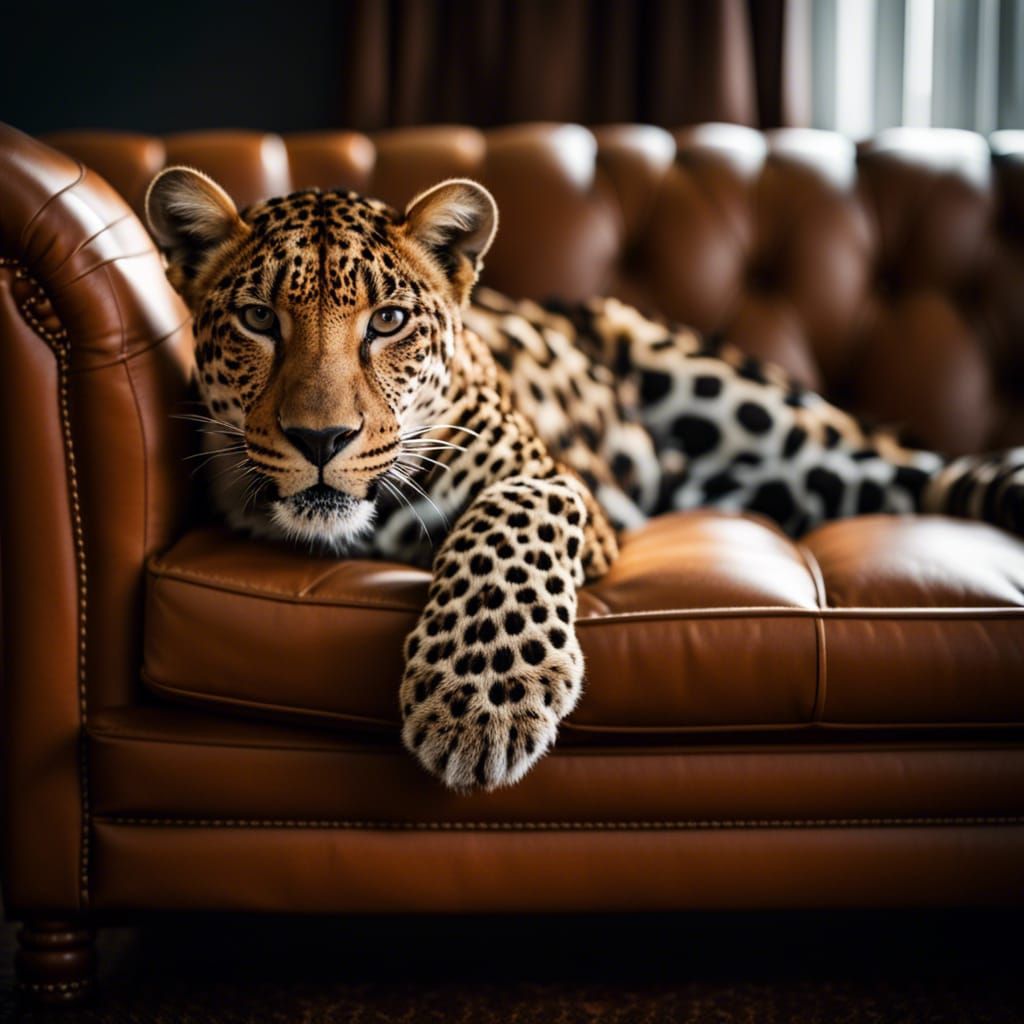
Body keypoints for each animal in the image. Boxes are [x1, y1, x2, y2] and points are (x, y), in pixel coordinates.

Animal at [145, 167, 1024, 793]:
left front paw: (480, 702)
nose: (321, 438)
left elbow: (506, 522)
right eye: (259, 319)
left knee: (921, 471)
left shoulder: (550, 480)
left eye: (387, 321)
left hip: (754, 415)